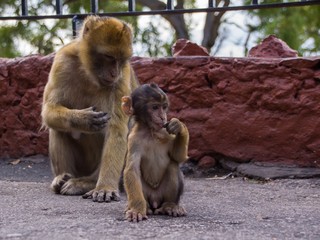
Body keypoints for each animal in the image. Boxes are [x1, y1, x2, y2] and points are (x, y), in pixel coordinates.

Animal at [41, 15, 138, 202]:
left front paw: (105, 187)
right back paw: (61, 179)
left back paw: (88, 183)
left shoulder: (123, 76)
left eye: (121, 59)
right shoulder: (62, 61)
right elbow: (48, 110)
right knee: (57, 126)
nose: (114, 73)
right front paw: (82, 119)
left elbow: (116, 129)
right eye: (109, 56)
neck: (90, 75)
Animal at [121, 83, 189, 222]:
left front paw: (179, 126)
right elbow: (132, 170)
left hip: (161, 194)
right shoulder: (133, 139)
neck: (150, 131)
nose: (163, 117)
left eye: (164, 107)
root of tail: (155, 201)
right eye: (155, 107)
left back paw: (170, 205)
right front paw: (137, 210)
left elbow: (178, 157)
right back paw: (144, 206)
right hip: (147, 194)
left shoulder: (165, 132)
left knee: (172, 165)